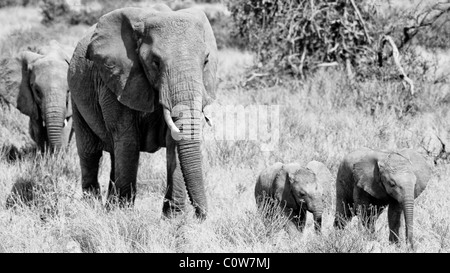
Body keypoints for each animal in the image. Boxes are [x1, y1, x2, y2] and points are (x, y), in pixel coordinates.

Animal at [67, 4, 219, 219]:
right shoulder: (118, 80)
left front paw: (173, 219)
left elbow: (174, 142)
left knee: (114, 156)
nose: (200, 217)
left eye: (206, 61)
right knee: (90, 153)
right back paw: (92, 209)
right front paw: (124, 216)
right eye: (155, 62)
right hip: (76, 96)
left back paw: (108, 209)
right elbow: (128, 140)